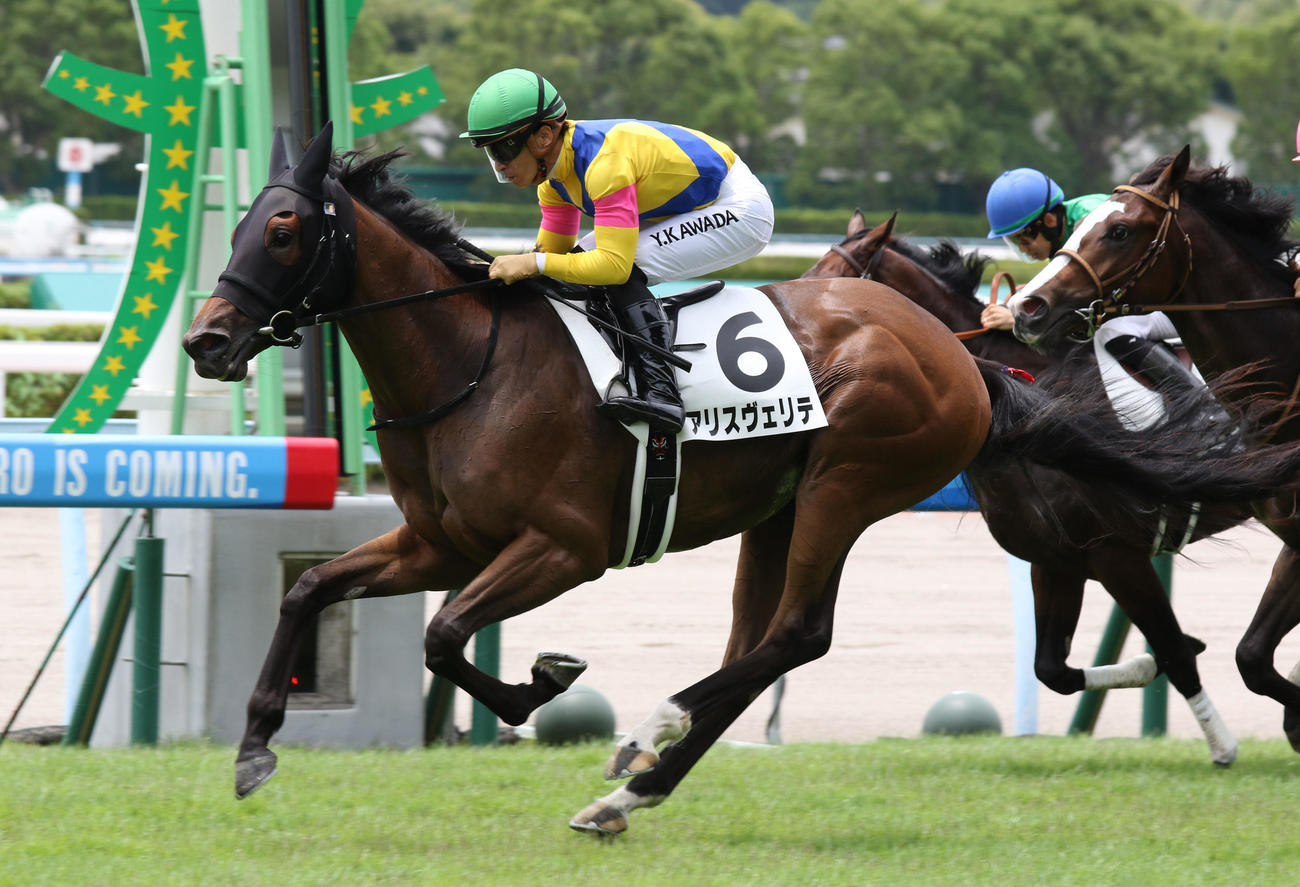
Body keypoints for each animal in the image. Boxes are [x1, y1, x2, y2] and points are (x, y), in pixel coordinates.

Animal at [804, 210, 1255, 764]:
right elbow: (1053, 670)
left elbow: (1172, 651)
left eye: (829, 290)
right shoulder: (1056, 558)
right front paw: (1151, 663)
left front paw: (1223, 745)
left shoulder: (1118, 554)